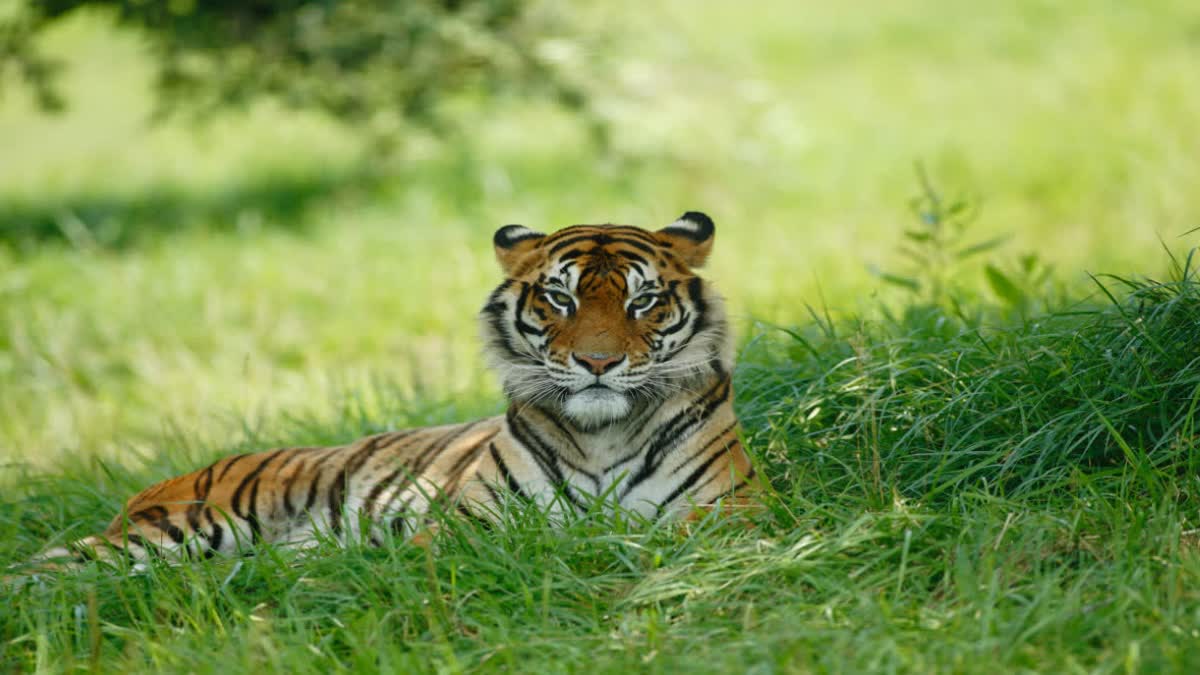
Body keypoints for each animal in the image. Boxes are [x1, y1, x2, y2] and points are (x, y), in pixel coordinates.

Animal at [21, 212, 758, 572]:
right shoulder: (469, 523)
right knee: (48, 568)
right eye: (560, 298)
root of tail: (143, 491)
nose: (598, 362)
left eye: (643, 301)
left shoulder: (732, 510)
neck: (602, 432)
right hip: (186, 526)